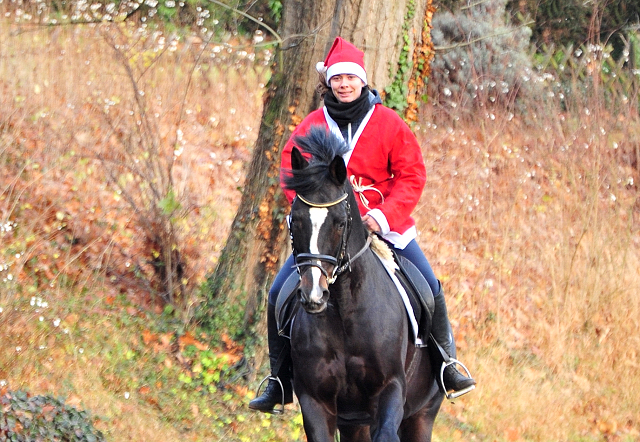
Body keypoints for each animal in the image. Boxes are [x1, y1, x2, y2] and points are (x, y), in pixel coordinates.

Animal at [282, 126, 442, 442]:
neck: (345, 310)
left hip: (421, 415)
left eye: (340, 222)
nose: (314, 295)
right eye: (295, 220)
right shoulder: (316, 401)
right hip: (354, 422)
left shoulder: (389, 390)